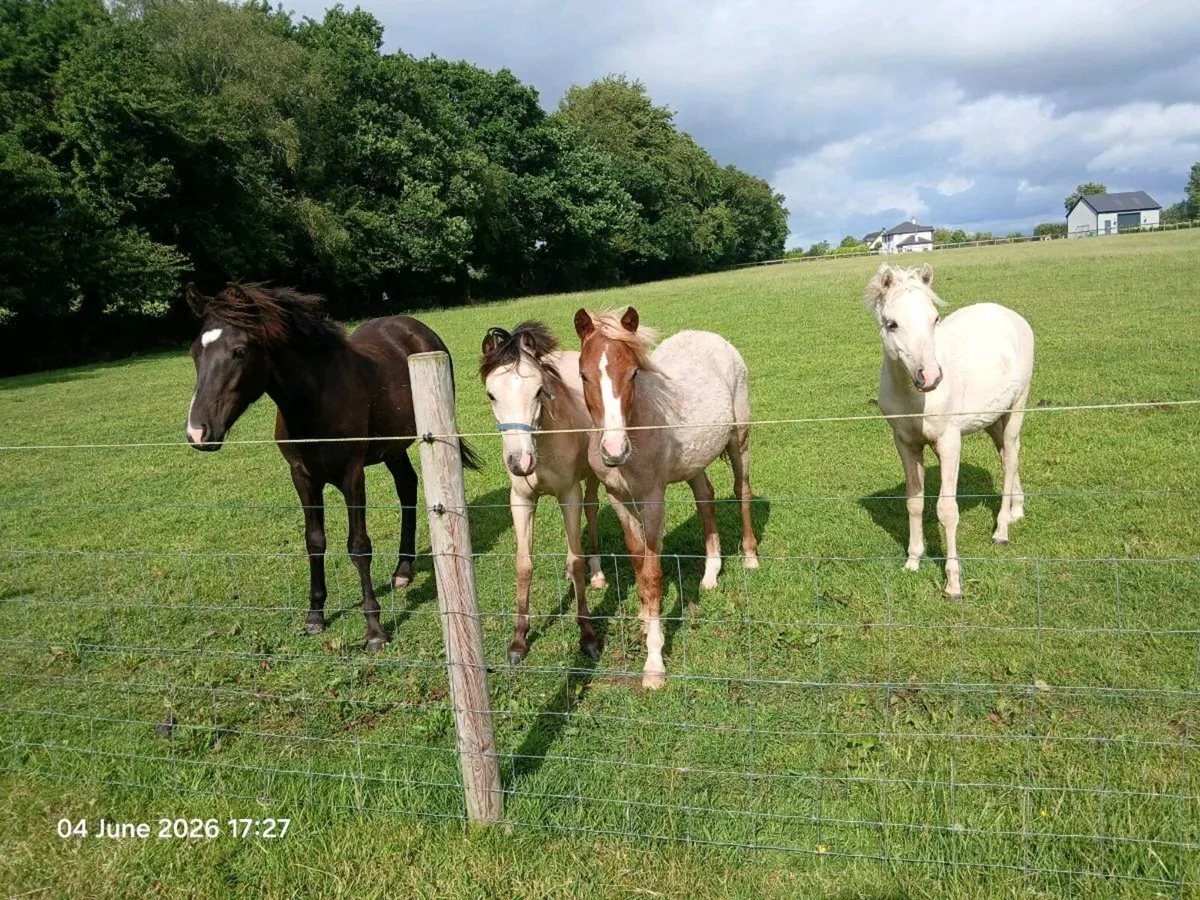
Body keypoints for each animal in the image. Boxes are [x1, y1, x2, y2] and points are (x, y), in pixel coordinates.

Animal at [183, 282, 480, 650]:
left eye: (239, 351)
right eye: (195, 352)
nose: (198, 432)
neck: (314, 401)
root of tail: (416, 329)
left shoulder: (352, 475)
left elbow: (358, 547)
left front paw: (375, 631)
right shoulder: (303, 477)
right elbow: (314, 542)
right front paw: (315, 617)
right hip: (392, 447)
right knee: (406, 485)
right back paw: (402, 570)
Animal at [479, 322, 608, 665]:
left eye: (538, 390)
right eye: (491, 394)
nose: (521, 462)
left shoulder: (570, 494)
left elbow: (577, 559)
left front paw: (588, 636)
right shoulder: (521, 500)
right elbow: (524, 565)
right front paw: (518, 641)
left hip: (592, 479)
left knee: (591, 511)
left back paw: (597, 572)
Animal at [573, 307, 758, 690]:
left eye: (633, 373)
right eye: (583, 375)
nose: (614, 450)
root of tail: (712, 337)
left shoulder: (653, 500)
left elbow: (654, 575)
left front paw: (654, 663)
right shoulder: (618, 498)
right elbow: (637, 562)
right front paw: (645, 618)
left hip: (740, 439)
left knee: (742, 491)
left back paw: (750, 557)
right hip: (696, 461)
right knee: (705, 498)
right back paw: (711, 574)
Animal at [864, 262, 1035, 598]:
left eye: (934, 318)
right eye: (892, 324)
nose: (930, 376)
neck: (915, 397)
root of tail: (1009, 314)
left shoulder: (949, 442)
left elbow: (946, 509)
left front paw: (953, 583)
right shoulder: (905, 443)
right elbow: (914, 502)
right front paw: (913, 561)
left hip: (1017, 405)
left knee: (1010, 458)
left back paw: (1001, 529)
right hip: (992, 418)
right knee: (1010, 453)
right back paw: (1016, 510)